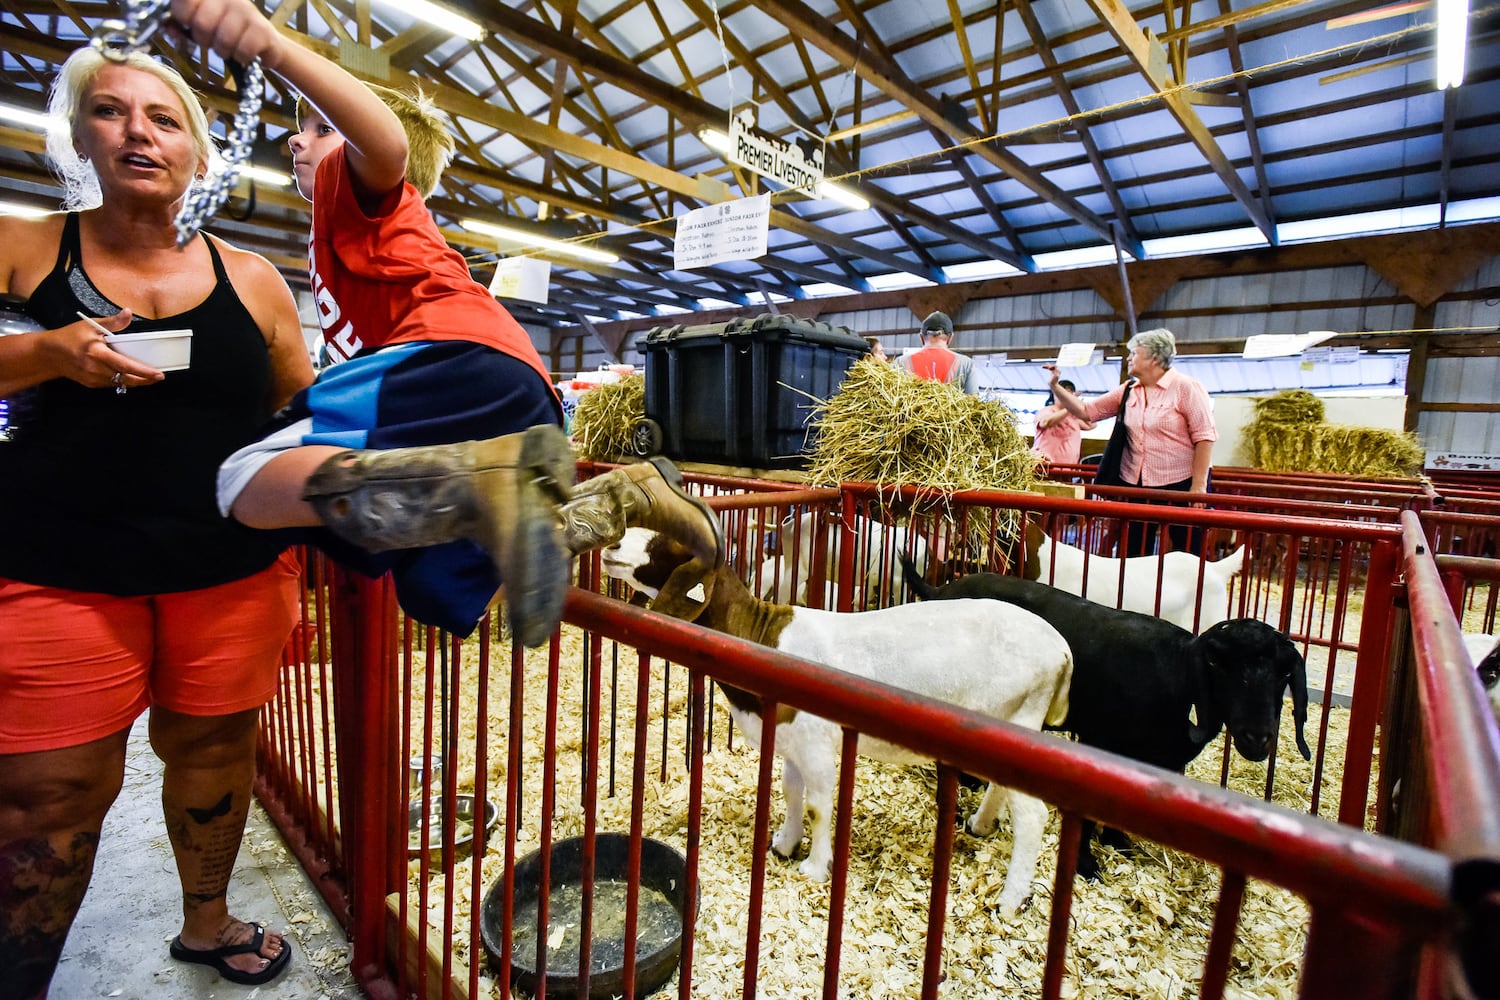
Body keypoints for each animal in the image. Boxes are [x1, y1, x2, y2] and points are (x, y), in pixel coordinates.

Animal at [603, 524, 1074, 917]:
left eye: (674, 542)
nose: (612, 545)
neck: (762, 635)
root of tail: (1061, 651)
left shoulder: (815, 744)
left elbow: (816, 805)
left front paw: (814, 867)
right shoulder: (791, 741)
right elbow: (791, 792)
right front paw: (784, 844)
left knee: (1033, 816)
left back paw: (1009, 902)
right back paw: (980, 826)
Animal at [894, 560, 1308, 881]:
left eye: (1284, 675)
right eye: (1217, 665)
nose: (1258, 738)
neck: (1175, 676)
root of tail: (940, 590)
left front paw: (1118, 842)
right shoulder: (1099, 741)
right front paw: (1086, 863)